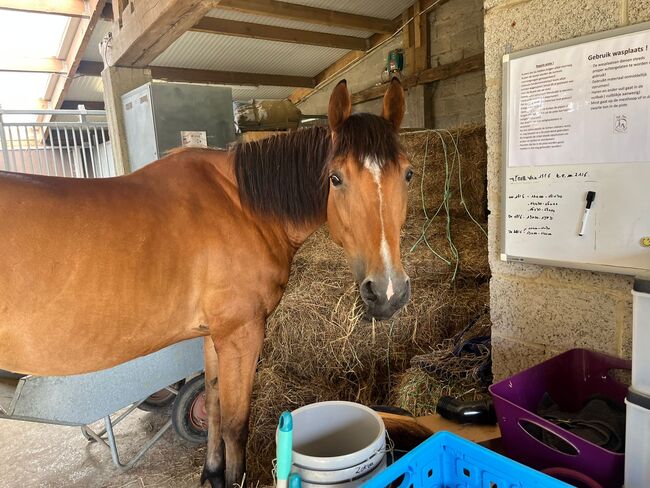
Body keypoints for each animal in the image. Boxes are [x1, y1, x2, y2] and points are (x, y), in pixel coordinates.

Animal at [0, 78, 412, 487]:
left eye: (408, 174)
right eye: (335, 178)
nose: (388, 291)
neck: (243, 205)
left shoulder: (214, 337)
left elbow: (213, 407)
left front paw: (213, 473)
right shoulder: (241, 335)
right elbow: (235, 423)